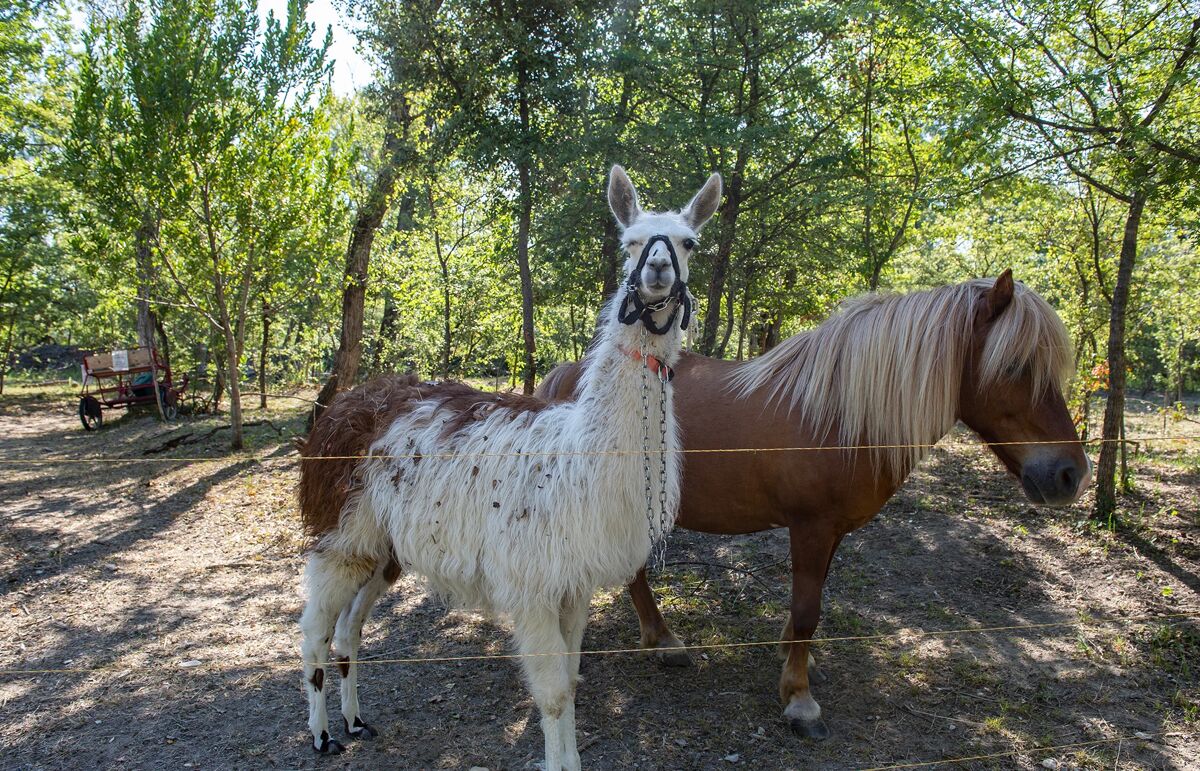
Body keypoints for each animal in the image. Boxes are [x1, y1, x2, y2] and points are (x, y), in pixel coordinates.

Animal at [540, 269, 1094, 730]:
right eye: (1017, 365)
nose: (1071, 475)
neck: (840, 413)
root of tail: (567, 375)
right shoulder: (810, 526)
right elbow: (808, 608)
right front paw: (798, 698)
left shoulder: (832, 532)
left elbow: (812, 601)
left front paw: (792, 656)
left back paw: (660, 639)